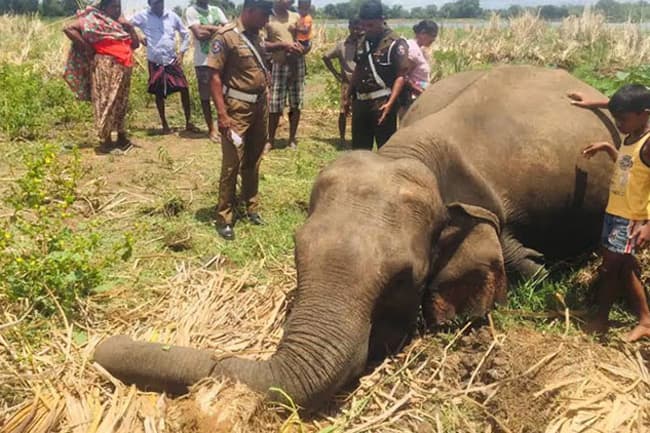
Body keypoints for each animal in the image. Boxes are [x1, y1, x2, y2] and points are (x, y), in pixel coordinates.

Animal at [94, 65, 618, 409]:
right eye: (297, 252)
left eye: (404, 278)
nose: (102, 348)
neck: (409, 153)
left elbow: (520, 259)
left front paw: (537, 269)